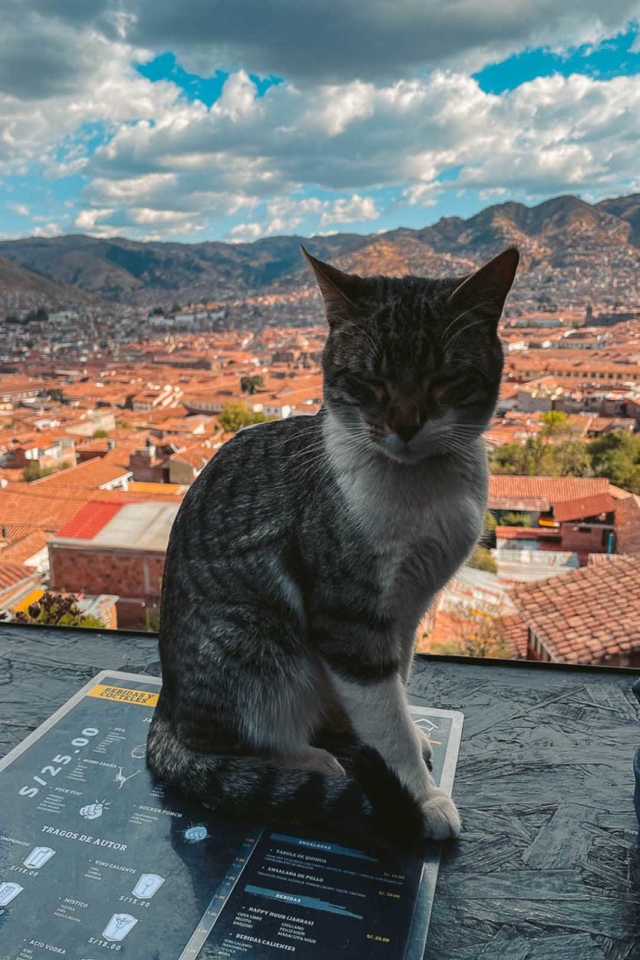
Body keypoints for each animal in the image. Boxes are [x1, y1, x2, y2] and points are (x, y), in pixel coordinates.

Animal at [149, 244, 520, 852]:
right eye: (370, 382)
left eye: (444, 379)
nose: (405, 425)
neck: (423, 488)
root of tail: (164, 705)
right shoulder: (350, 618)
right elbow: (385, 717)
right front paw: (422, 799)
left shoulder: (408, 609)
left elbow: (398, 685)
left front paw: (408, 737)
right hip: (257, 636)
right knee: (231, 742)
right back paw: (313, 762)